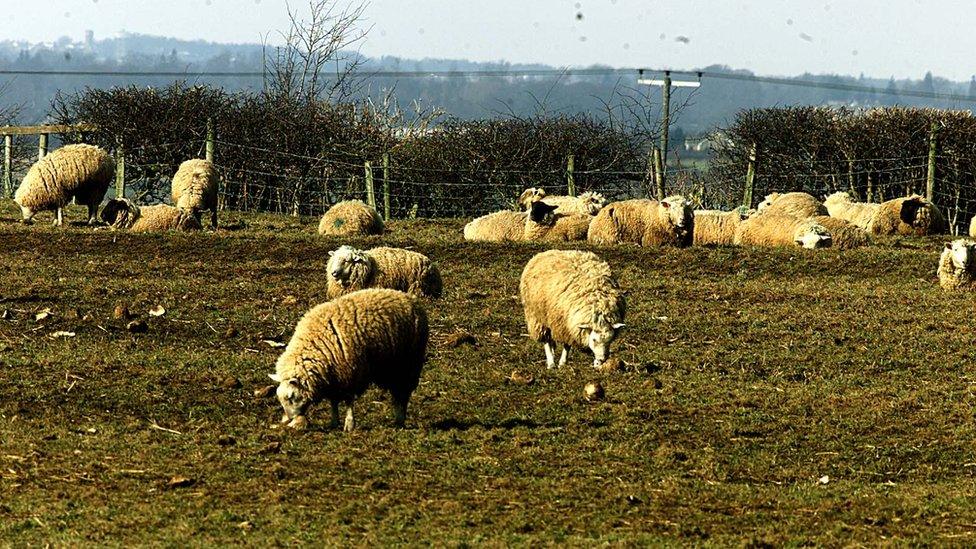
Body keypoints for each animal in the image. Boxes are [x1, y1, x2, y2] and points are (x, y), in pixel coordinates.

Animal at [270, 288, 430, 430]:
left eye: (291, 396)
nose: (289, 419)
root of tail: (411, 298)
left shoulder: (350, 373)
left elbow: (348, 400)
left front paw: (349, 424)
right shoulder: (333, 377)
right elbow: (334, 401)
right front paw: (334, 422)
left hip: (409, 362)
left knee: (403, 392)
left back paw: (400, 419)